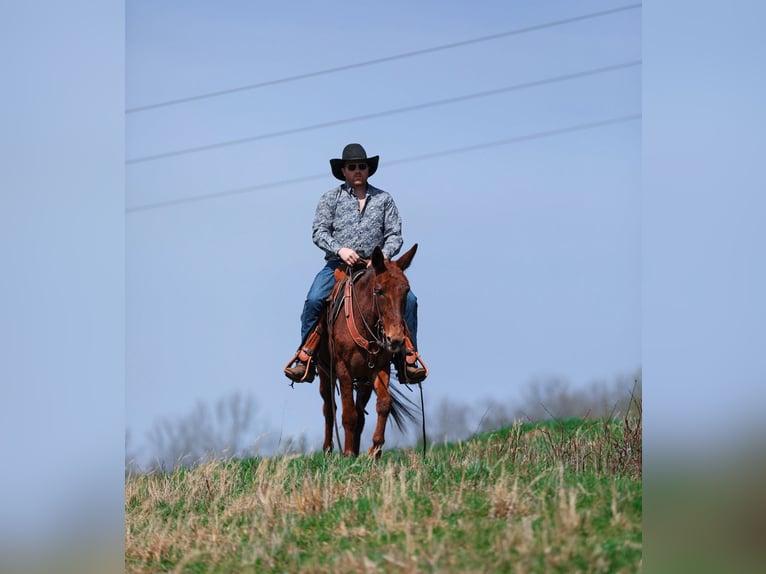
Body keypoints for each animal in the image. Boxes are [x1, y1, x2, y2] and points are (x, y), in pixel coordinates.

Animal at [316, 244, 419, 457]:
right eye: (379, 291)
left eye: (406, 290)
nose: (395, 339)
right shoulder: (343, 369)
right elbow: (348, 414)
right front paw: (347, 453)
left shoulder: (380, 368)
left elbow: (384, 404)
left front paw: (375, 450)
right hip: (324, 372)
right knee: (329, 407)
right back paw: (329, 450)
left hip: (363, 381)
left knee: (360, 413)